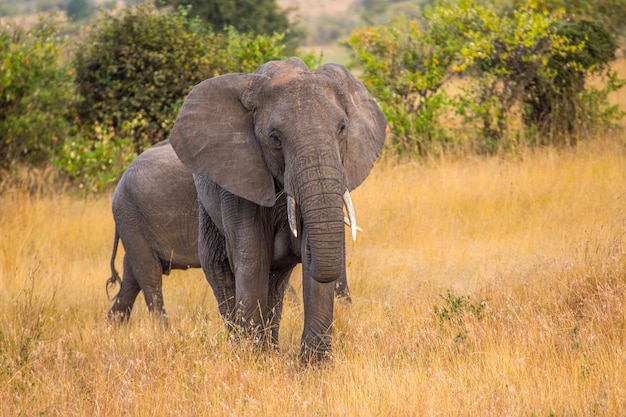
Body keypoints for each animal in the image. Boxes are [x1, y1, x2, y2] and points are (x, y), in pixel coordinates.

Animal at [105, 138, 354, 324]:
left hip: (132, 220)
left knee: (132, 277)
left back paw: (113, 327)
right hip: (130, 216)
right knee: (150, 276)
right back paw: (162, 330)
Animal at [171, 57, 386, 360]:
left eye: (342, 128)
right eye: (275, 138)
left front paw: (314, 364)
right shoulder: (241, 178)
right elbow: (253, 257)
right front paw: (252, 360)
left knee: (276, 283)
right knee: (220, 269)